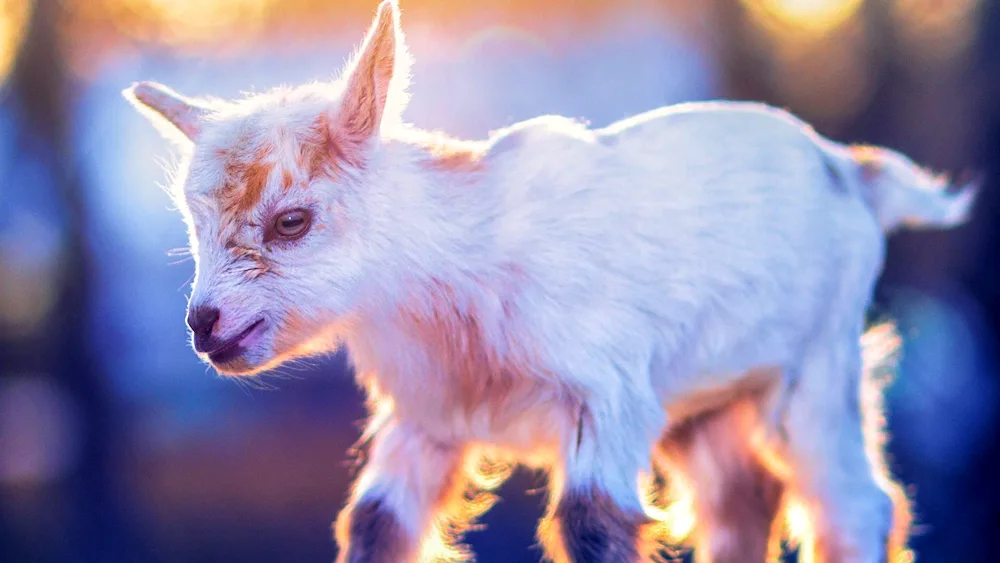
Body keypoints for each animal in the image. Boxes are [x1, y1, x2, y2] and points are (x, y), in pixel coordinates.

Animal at [125, 1, 976, 563]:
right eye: (192, 222)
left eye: (292, 221)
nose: (206, 323)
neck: (461, 264)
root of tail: (850, 169)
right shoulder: (425, 423)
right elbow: (374, 526)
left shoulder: (606, 397)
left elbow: (592, 526)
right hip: (703, 400)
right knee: (741, 505)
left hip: (814, 368)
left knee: (852, 506)